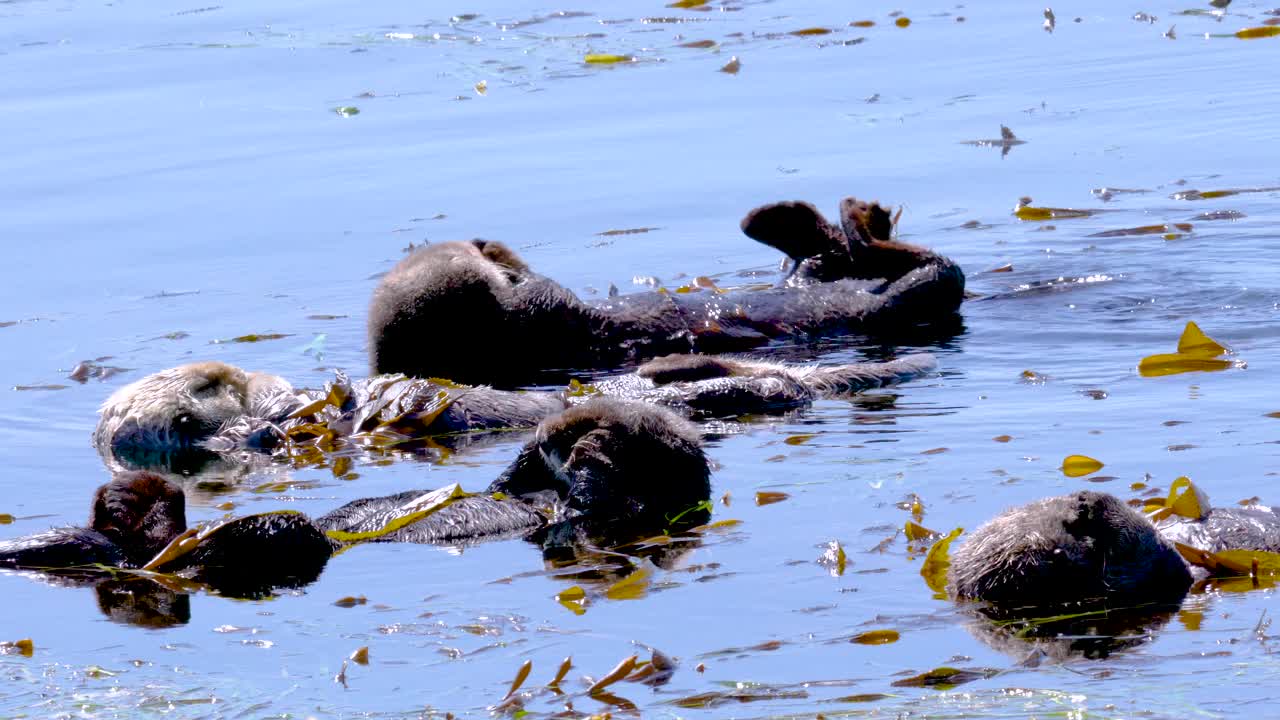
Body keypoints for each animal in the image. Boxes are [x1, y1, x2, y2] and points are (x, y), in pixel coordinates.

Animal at [366, 196, 962, 384]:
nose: (478, 241)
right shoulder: (540, 317)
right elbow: (541, 291)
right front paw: (503, 260)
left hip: (819, 272)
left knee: (818, 255)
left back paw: (783, 219)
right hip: (904, 298)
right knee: (917, 269)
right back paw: (861, 222)